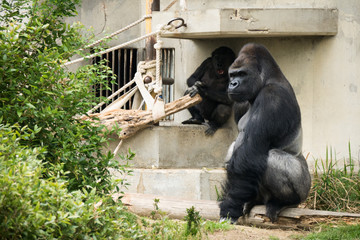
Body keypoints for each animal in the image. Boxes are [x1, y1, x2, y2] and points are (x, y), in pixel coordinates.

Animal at [219, 43, 312, 223]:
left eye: (242, 74)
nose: (232, 84)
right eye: (232, 74)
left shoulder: (272, 99)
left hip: (305, 190)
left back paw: (282, 202)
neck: (267, 80)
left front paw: (229, 208)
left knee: (273, 158)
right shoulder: (240, 103)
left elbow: (248, 155)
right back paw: (253, 201)